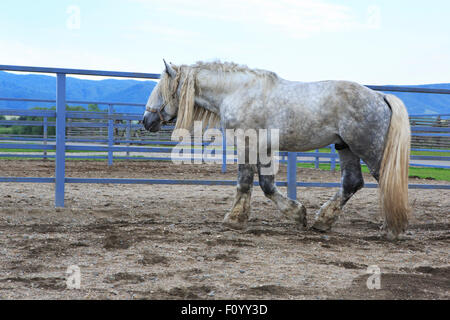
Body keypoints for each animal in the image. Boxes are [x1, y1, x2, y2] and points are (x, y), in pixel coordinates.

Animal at [142, 60, 410, 240]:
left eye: (161, 89)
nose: (146, 120)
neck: (237, 92)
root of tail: (380, 97)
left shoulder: (247, 144)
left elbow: (245, 181)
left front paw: (234, 220)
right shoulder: (265, 149)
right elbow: (267, 185)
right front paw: (298, 214)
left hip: (368, 149)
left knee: (384, 180)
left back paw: (393, 229)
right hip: (345, 147)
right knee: (352, 182)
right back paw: (323, 221)